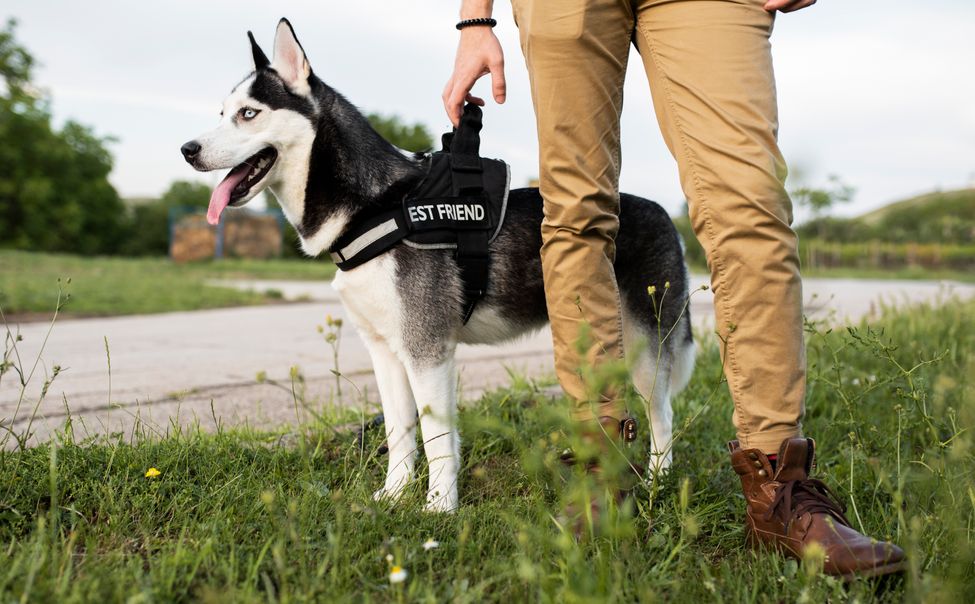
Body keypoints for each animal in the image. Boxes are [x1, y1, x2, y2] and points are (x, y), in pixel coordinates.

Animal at [183, 18, 696, 512]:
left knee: (663, 415)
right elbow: (400, 434)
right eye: (222, 113)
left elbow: (437, 439)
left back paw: (656, 483)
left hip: (646, 349)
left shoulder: (427, 350)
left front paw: (439, 507)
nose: (187, 149)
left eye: (249, 114)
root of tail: (661, 211)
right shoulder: (387, 352)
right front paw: (394, 495)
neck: (375, 206)